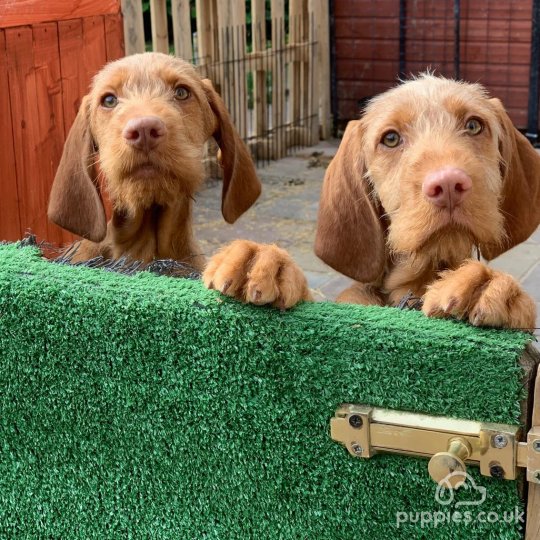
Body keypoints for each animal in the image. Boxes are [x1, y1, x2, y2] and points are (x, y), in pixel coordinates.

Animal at [205, 74, 540, 330]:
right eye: (390, 139)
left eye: (473, 125)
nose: (448, 184)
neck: (415, 283)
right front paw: (263, 262)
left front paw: (494, 289)